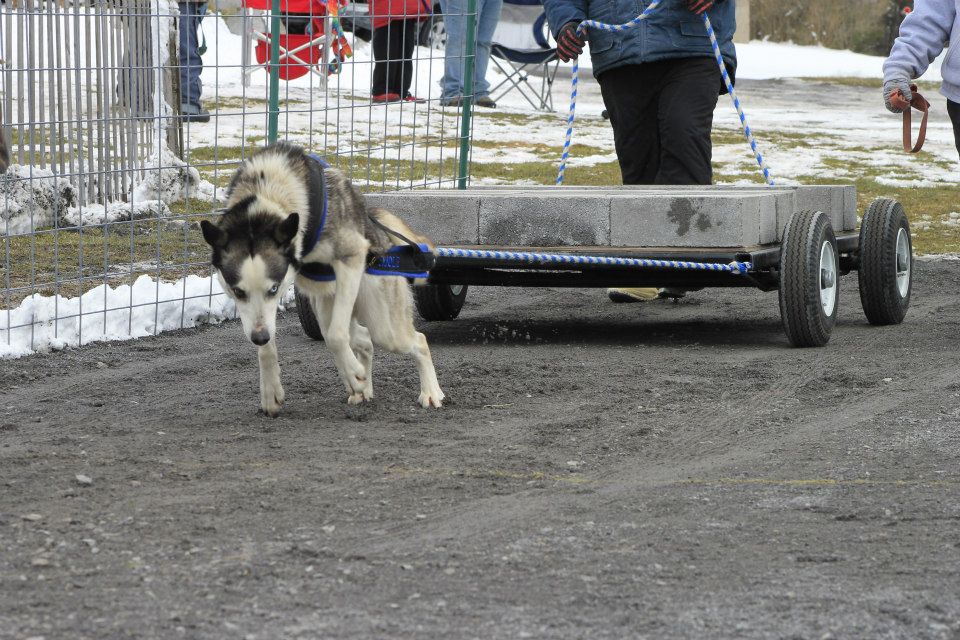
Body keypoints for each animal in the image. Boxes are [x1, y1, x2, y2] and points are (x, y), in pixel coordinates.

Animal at [202, 143, 446, 416]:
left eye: (274, 289)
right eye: (238, 292)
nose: (259, 337)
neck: (268, 191)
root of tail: (379, 233)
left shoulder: (351, 258)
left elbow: (336, 337)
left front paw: (352, 373)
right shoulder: (261, 318)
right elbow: (268, 348)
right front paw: (270, 390)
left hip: (384, 326)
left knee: (417, 341)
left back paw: (429, 392)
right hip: (327, 309)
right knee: (363, 340)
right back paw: (362, 388)